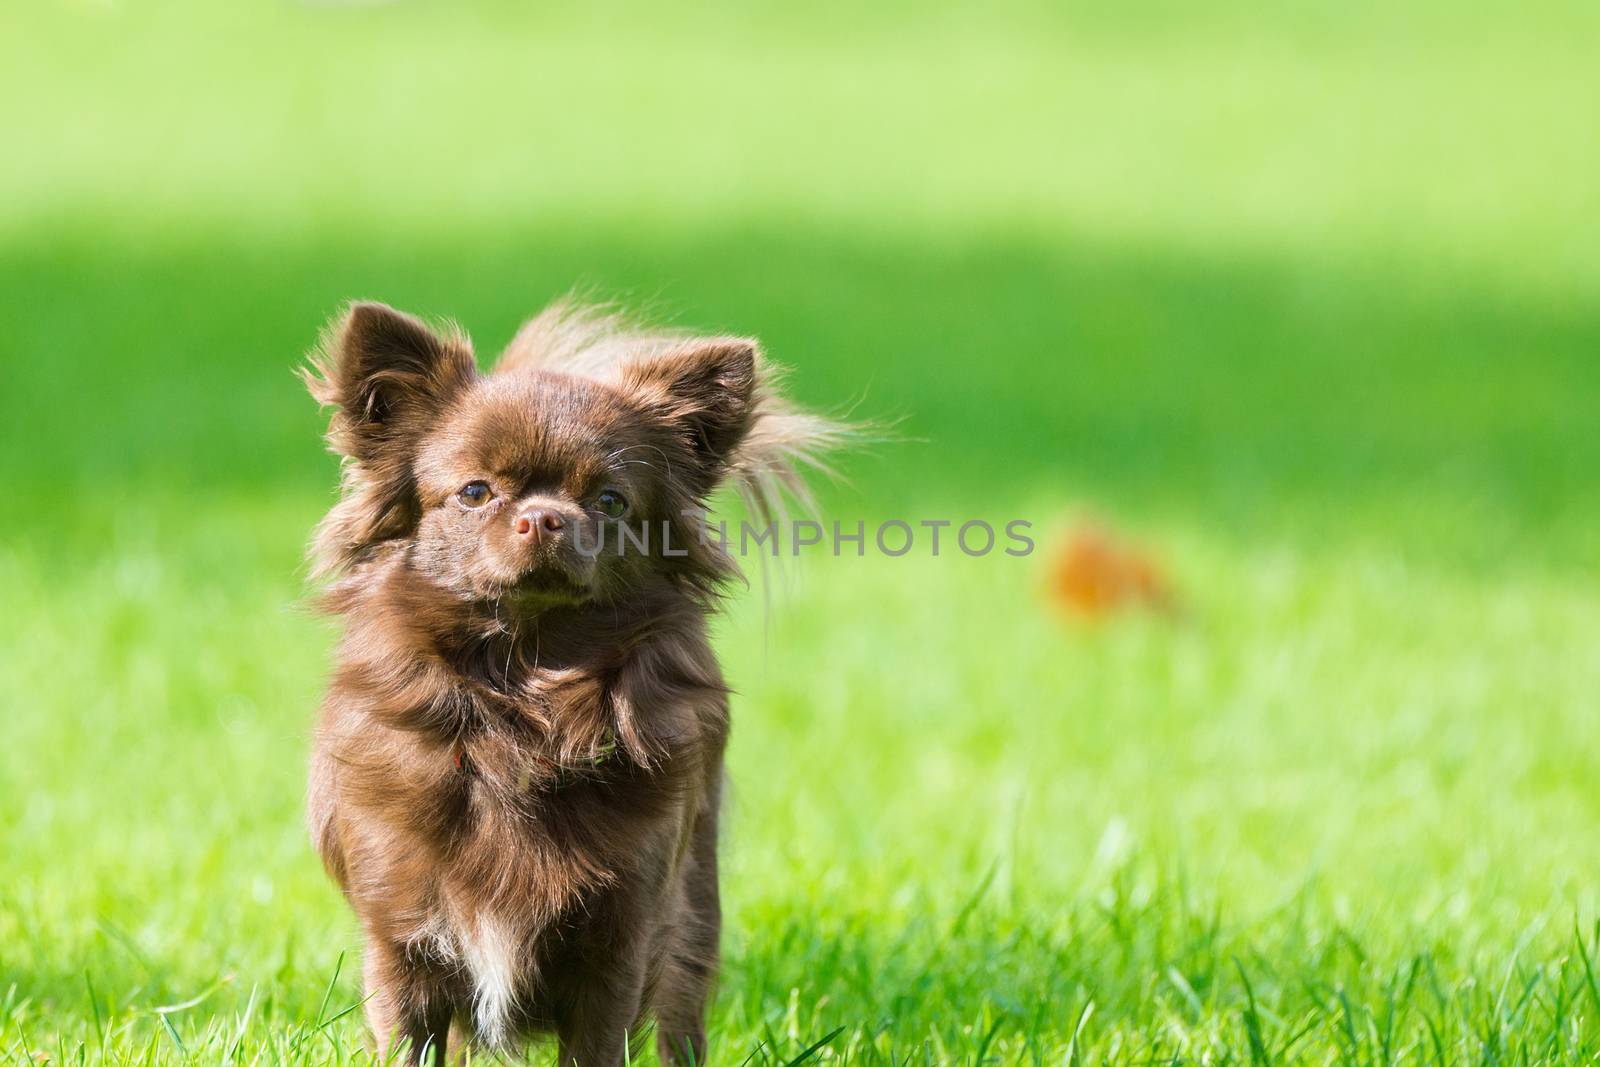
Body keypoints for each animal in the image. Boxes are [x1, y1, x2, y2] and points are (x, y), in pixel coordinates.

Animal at [299, 300, 838, 1067]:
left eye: (610, 501)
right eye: (474, 492)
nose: (545, 515)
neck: (527, 699)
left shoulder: (620, 939)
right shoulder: (401, 941)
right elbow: (410, 1042)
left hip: (692, 906)